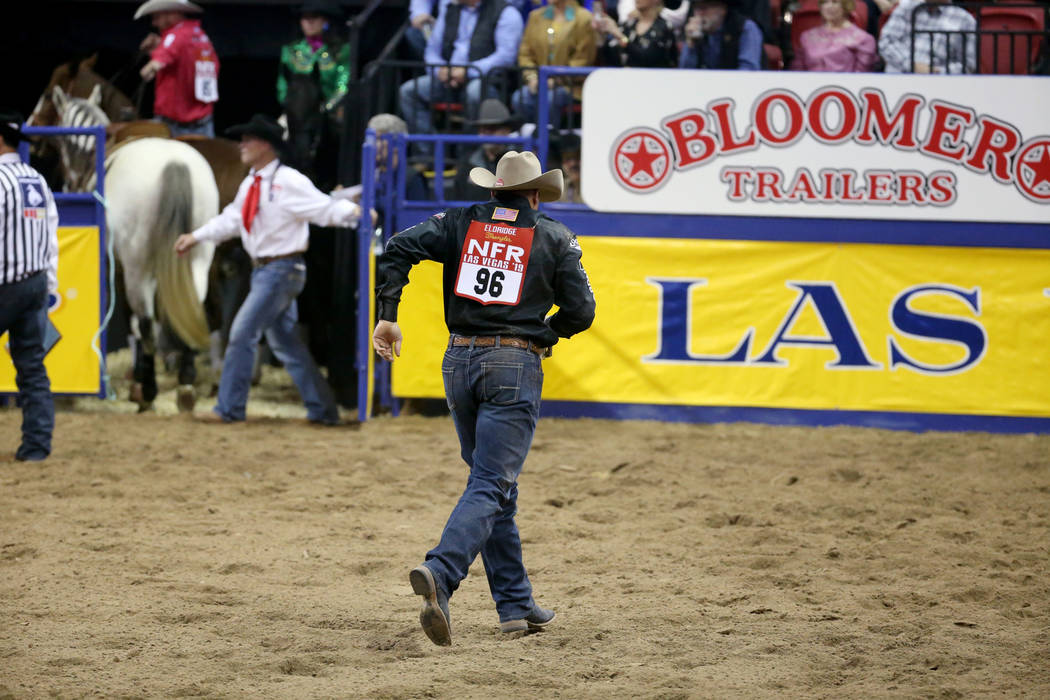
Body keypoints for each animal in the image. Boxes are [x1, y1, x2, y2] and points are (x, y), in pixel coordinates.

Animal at [53, 83, 219, 411]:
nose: (70, 181)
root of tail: (175, 164)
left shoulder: (117, 268)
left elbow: (131, 321)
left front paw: (139, 382)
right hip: (198, 259)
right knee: (188, 307)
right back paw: (185, 387)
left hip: (137, 269)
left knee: (145, 323)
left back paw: (150, 392)